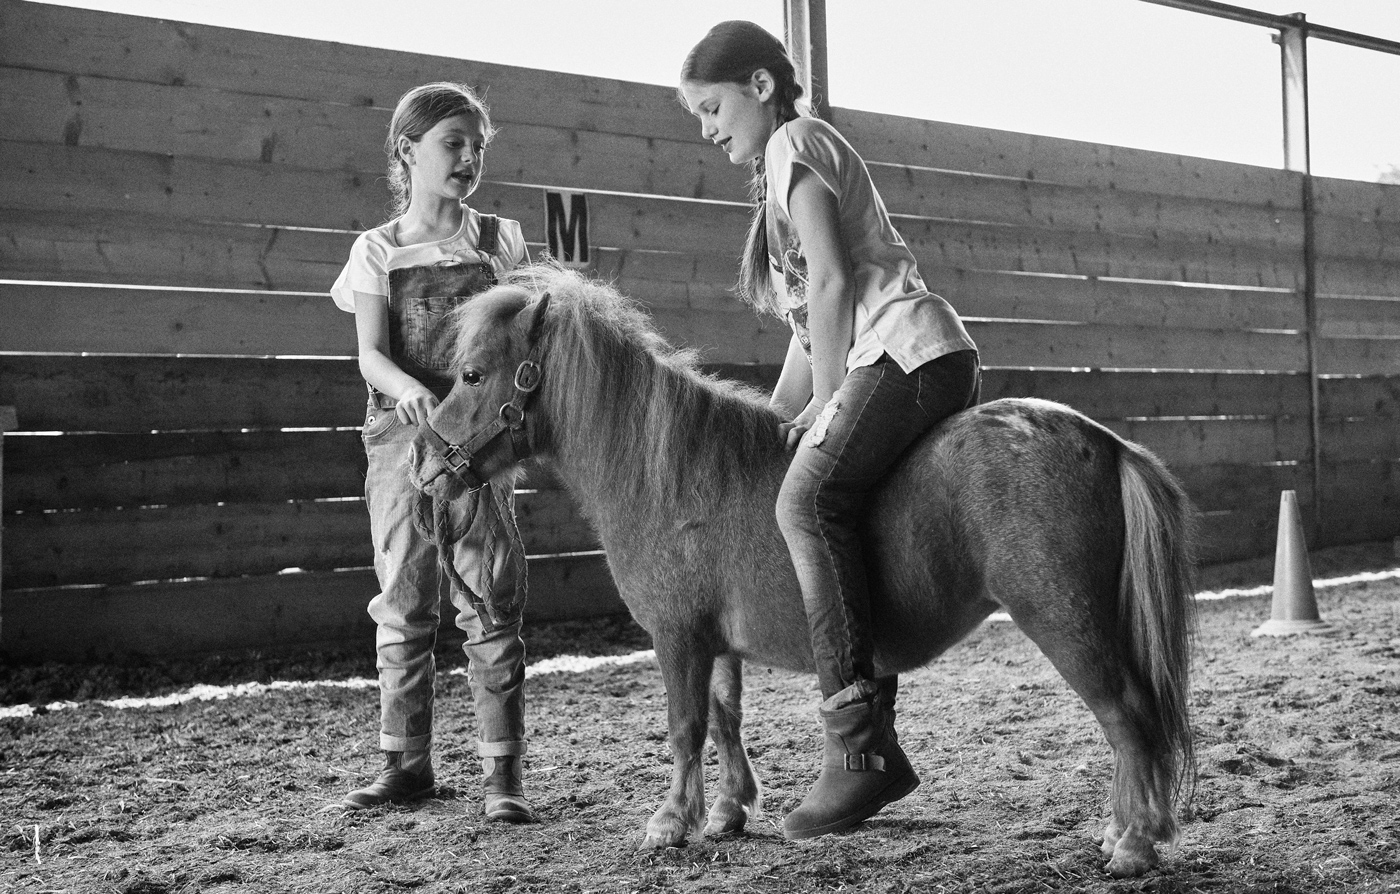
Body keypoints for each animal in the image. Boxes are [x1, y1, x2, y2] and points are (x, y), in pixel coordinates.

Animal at [406, 263, 1192, 878]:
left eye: (473, 374)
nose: (426, 466)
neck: (672, 477)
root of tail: (1101, 439)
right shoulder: (716, 644)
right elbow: (726, 717)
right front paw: (726, 812)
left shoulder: (677, 637)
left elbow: (685, 726)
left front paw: (671, 822)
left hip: (1064, 619)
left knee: (1129, 718)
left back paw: (1132, 844)